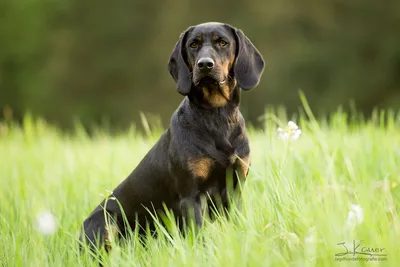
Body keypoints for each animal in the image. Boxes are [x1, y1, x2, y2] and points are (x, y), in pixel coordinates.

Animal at [79, 21, 264, 253]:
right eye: (193, 44)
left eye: (223, 42)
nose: (205, 65)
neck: (217, 116)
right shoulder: (191, 196)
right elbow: (199, 237)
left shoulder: (235, 188)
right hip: (104, 220)